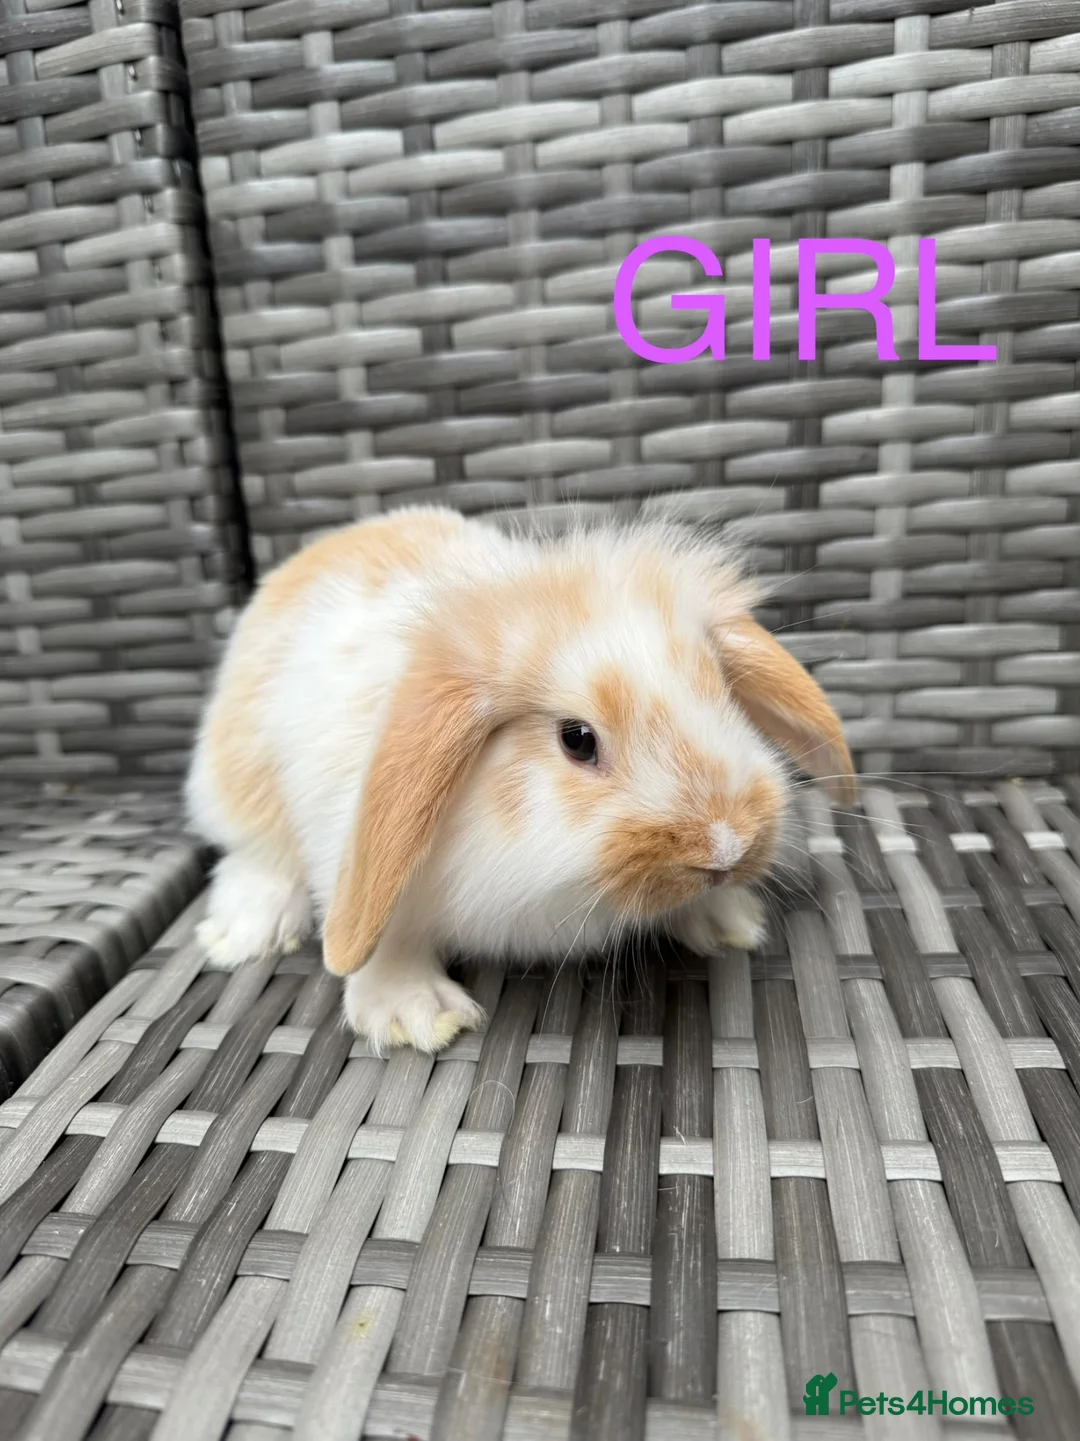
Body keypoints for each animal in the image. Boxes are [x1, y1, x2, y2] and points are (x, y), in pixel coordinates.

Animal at [186, 505, 855, 1053]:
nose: (726, 846)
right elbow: (384, 940)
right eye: (576, 739)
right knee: (258, 856)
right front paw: (416, 1015)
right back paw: (243, 933)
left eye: (723, 696)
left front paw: (730, 917)